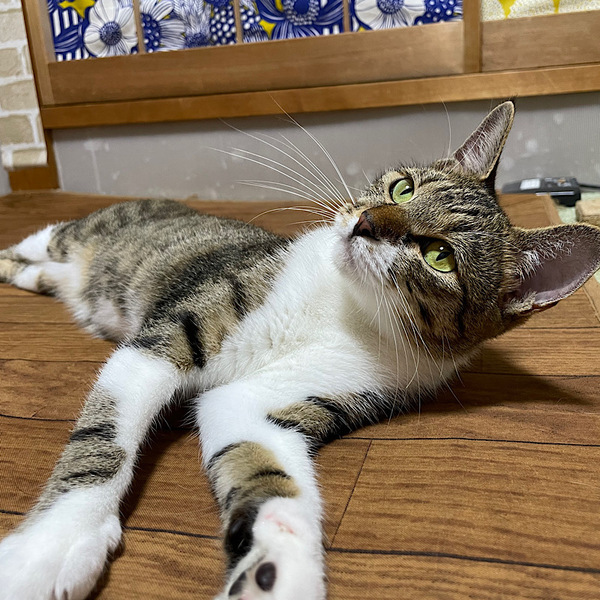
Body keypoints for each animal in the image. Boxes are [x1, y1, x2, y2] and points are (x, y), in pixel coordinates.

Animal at [0, 100, 599, 600]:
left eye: (439, 255)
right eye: (403, 189)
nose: (365, 222)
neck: (344, 309)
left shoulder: (287, 396)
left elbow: (264, 464)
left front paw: (277, 565)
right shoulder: (175, 330)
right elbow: (108, 435)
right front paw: (56, 543)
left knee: (40, 271)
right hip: (78, 235)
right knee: (34, 241)